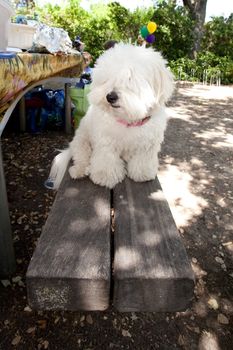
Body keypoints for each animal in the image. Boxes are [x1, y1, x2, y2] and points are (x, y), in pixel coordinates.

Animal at [48, 43, 174, 189]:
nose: (110, 97)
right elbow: (107, 161)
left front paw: (143, 173)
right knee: (81, 158)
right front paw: (105, 176)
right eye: (107, 79)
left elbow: (142, 161)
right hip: (82, 141)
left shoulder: (146, 146)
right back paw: (79, 170)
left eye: (130, 80)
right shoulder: (106, 144)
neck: (128, 119)